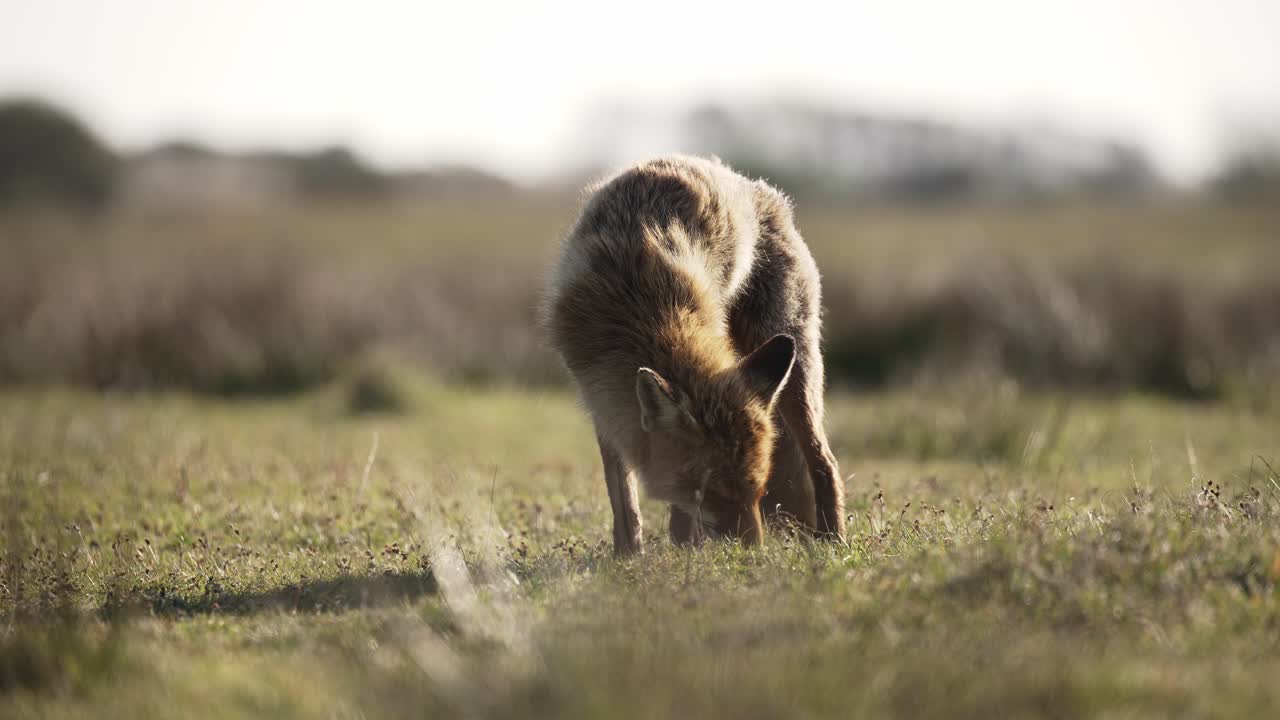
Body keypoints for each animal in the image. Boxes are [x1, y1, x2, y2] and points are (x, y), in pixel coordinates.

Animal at [544, 155, 845, 554]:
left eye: (758, 490)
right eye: (714, 492)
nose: (755, 552)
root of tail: (767, 193)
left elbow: (677, 513)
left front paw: (684, 552)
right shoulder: (599, 396)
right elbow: (621, 493)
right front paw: (628, 555)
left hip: (792, 366)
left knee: (825, 461)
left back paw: (834, 541)